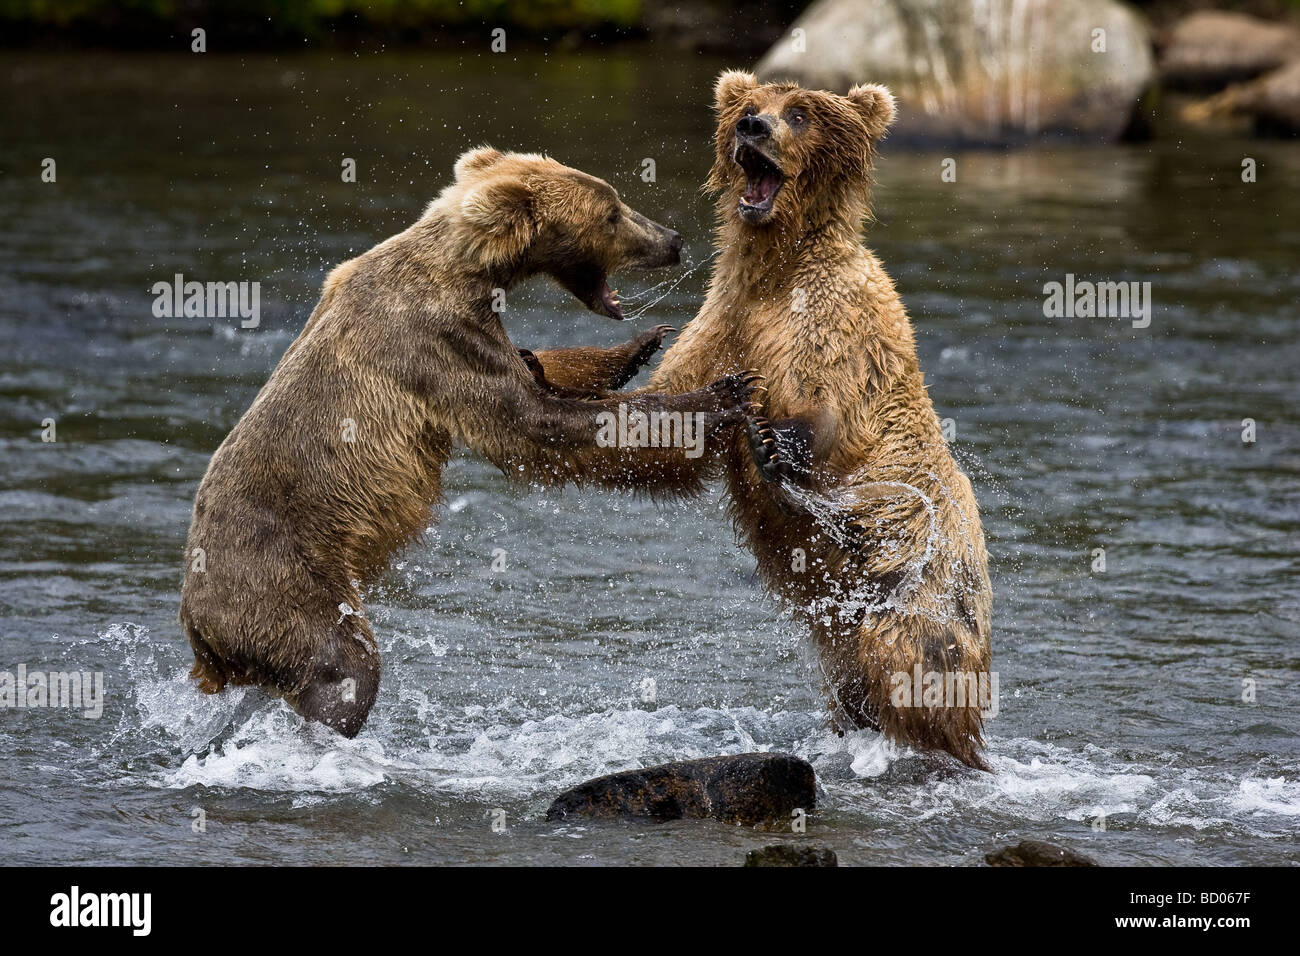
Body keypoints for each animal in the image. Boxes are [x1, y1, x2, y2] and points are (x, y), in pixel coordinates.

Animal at [176, 149, 759, 738]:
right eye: (612, 213)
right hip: (283, 582)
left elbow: (537, 371)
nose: (673, 239)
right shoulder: (440, 342)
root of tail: (199, 632)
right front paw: (724, 392)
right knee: (342, 666)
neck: (467, 272)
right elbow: (537, 421)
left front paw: (638, 346)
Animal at [527, 72, 993, 770]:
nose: (753, 127)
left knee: (912, 666)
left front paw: (771, 446)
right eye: (749, 107)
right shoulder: (726, 318)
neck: (777, 266)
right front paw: (596, 361)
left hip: (920, 579)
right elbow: (664, 428)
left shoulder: (838, 328)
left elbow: (830, 414)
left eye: (799, 114)